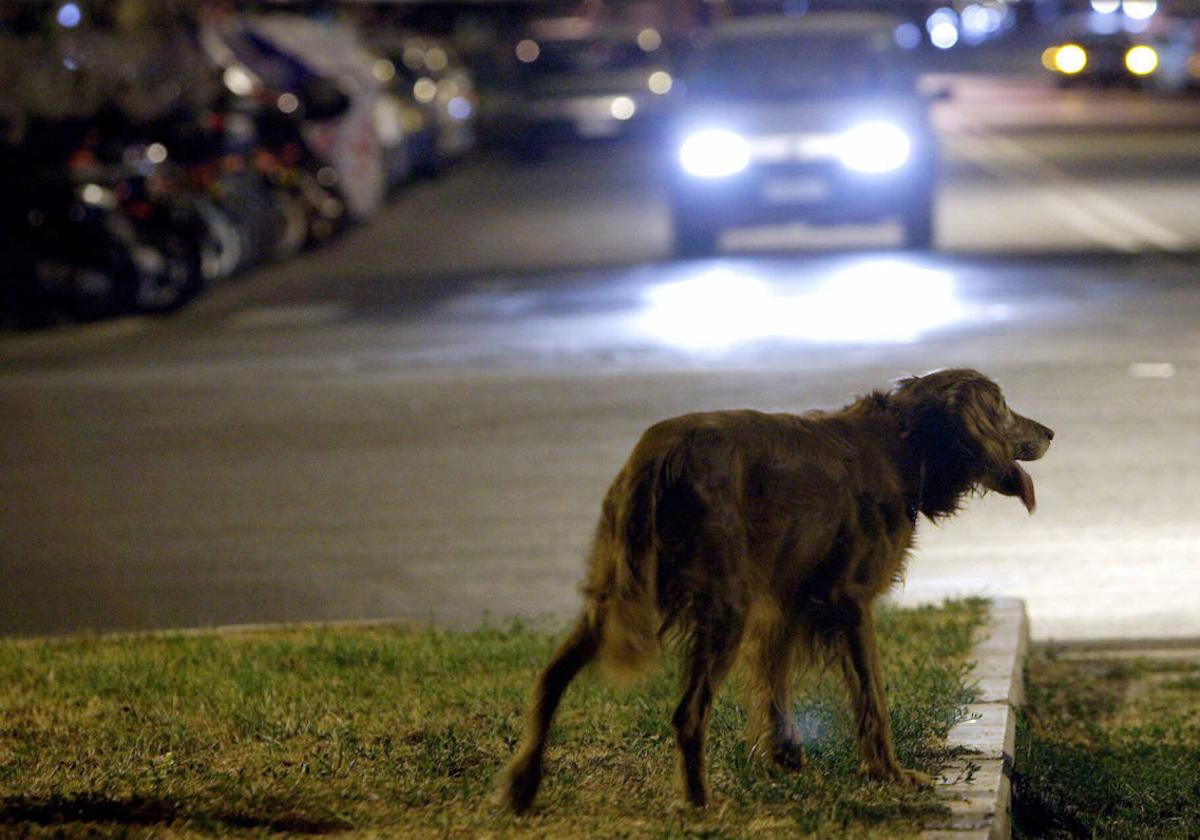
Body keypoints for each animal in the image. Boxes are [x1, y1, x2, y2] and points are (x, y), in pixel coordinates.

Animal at [496, 369, 1051, 816]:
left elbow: (774, 680)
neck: (904, 443)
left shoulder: (784, 599)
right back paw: (700, 803)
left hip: (615, 597)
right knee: (686, 714)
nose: (1049, 431)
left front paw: (785, 755)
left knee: (549, 679)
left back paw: (522, 785)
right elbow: (871, 697)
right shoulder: (850, 602)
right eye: (1002, 406)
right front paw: (889, 774)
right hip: (724, 608)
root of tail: (661, 451)